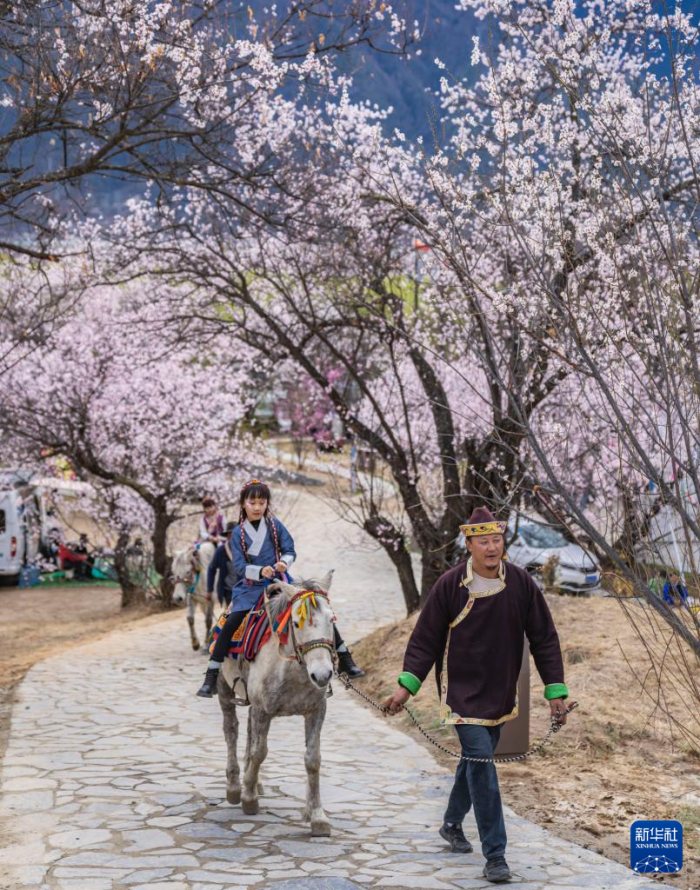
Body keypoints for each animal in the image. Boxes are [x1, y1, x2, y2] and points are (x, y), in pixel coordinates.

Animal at [220, 572, 338, 836]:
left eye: (331, 619)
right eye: (295, 623)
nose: (323, 674)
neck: (293, 669)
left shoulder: (316, 711)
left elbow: (313, 760)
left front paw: (317, 816)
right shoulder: (264, 710)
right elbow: (260, 752)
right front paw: (249, 798)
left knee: (249, 733)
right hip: (224, 689)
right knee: (231, 731)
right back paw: (234, 787)